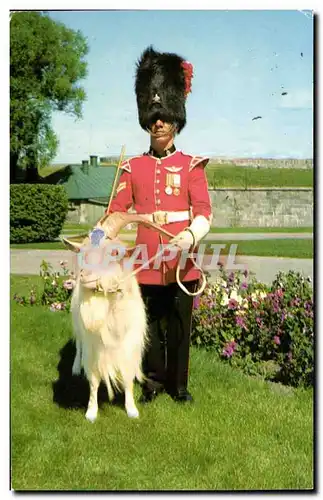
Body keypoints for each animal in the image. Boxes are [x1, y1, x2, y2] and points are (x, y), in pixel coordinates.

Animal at [64, 229, 147, 422]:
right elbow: (94, 380)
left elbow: (127, 376)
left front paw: (131, 409)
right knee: (78, 345)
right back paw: (75, 368)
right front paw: (91, 412)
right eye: (82, 251)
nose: (84, 276)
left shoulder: (130, 345)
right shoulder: (93, 348)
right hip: (78, 325)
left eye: (115, 252)